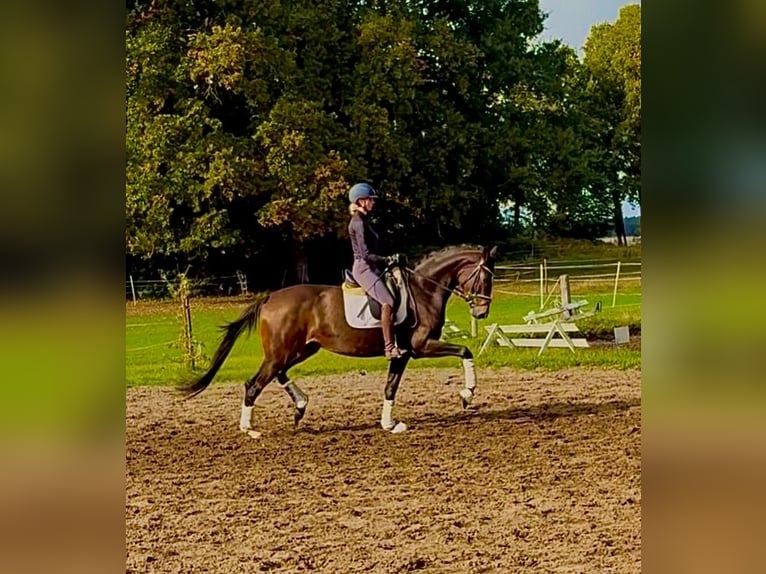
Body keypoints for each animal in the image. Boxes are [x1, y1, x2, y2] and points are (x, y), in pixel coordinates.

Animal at [179, 244, 498, 437]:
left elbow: (390, 387)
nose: (482, 312)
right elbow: (465, 351)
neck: (422, 290)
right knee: (254, 383)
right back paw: (250, 429)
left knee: (278, 373)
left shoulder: (403, 353)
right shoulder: (421, 347)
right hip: (284, 351)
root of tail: (270, 297)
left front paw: (389, 423)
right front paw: (467, 394)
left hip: (300, 349)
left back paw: (300, 405)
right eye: (485, 278)